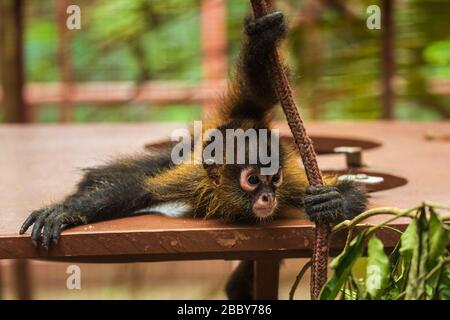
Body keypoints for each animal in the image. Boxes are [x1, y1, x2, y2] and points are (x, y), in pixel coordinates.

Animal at [19, 11, 368, 298]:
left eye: (274, 179)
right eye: (253, 180)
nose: (268, 197)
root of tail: (239, 124)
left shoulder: (292, 184)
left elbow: (350, 192)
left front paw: (331, 202)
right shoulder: (195, 178)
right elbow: (138, 189)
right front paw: (67, 212)